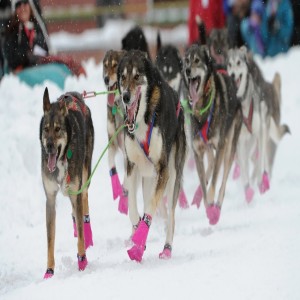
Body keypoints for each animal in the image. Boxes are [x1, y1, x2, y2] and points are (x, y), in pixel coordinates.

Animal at [39, 88, 94, 278]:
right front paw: (49, 271)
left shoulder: (76, 189)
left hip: (84, 178)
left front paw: (82, 262)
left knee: (83, 204)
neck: (62, 159)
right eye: (46, 129)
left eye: (57, 129)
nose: (49, 146)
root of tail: (74, 94)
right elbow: (50, 239)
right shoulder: (49, 199)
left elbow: (81, 238)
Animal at [116, 50, 185, 262]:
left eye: (137, 76)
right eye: (123, 77)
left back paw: (167, 248)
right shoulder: (131, 166)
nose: (125, 97)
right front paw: (136, 231)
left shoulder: (164, 169)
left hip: (173, 175)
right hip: (147, 175)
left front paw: (140, 237)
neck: (142, 120)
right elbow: (132, 206)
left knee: (170, 215)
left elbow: (152, 207)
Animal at [182, 44, 243, 225]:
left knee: (223, 177)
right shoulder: (197, 151)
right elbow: (203, 181)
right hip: (207, 147)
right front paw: (204, 201)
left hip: (229, 147)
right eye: (186, 61)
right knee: (210, 163)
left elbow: (215, 178)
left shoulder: (220, 146)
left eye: (197, 60)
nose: (187, 70)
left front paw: (211, 207)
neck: (201, 109)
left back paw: (217, 206)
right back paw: (198, 197)